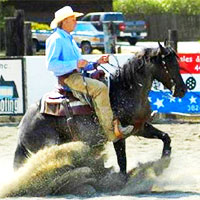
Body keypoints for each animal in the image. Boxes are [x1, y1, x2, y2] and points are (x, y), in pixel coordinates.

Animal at [13, 41, 187, 173]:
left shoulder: (140, 127)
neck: (127, 90)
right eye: (168, 64)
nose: (182, 89)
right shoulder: (118, 136)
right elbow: (122, 162)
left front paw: (164, 160)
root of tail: (22, 129)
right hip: (50, 145)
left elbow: (165, 137)